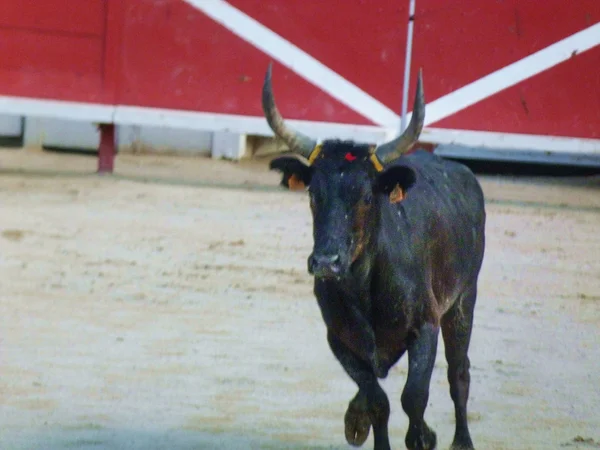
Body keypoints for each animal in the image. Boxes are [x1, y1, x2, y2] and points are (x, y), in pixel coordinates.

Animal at [260, 64, 486, 450]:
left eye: (366, 196)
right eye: (313, 194)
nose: (326, 263)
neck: (364, 287)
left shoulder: (425, 326)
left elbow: (414, 396)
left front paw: (423, 437)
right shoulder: (339, 339)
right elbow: (376, 400)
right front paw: (361, 421)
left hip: (463, 300)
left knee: (459, 374)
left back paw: (463, 441)